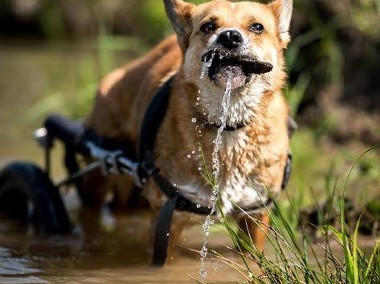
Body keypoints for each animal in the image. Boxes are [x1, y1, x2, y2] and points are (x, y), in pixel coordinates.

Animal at [84, 0, 294, 262]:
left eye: (257, 27)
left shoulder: (254, 215)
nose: (230, 37)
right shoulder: (168, 219)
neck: (226, 127)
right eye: (209, 26)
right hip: (99, 168)